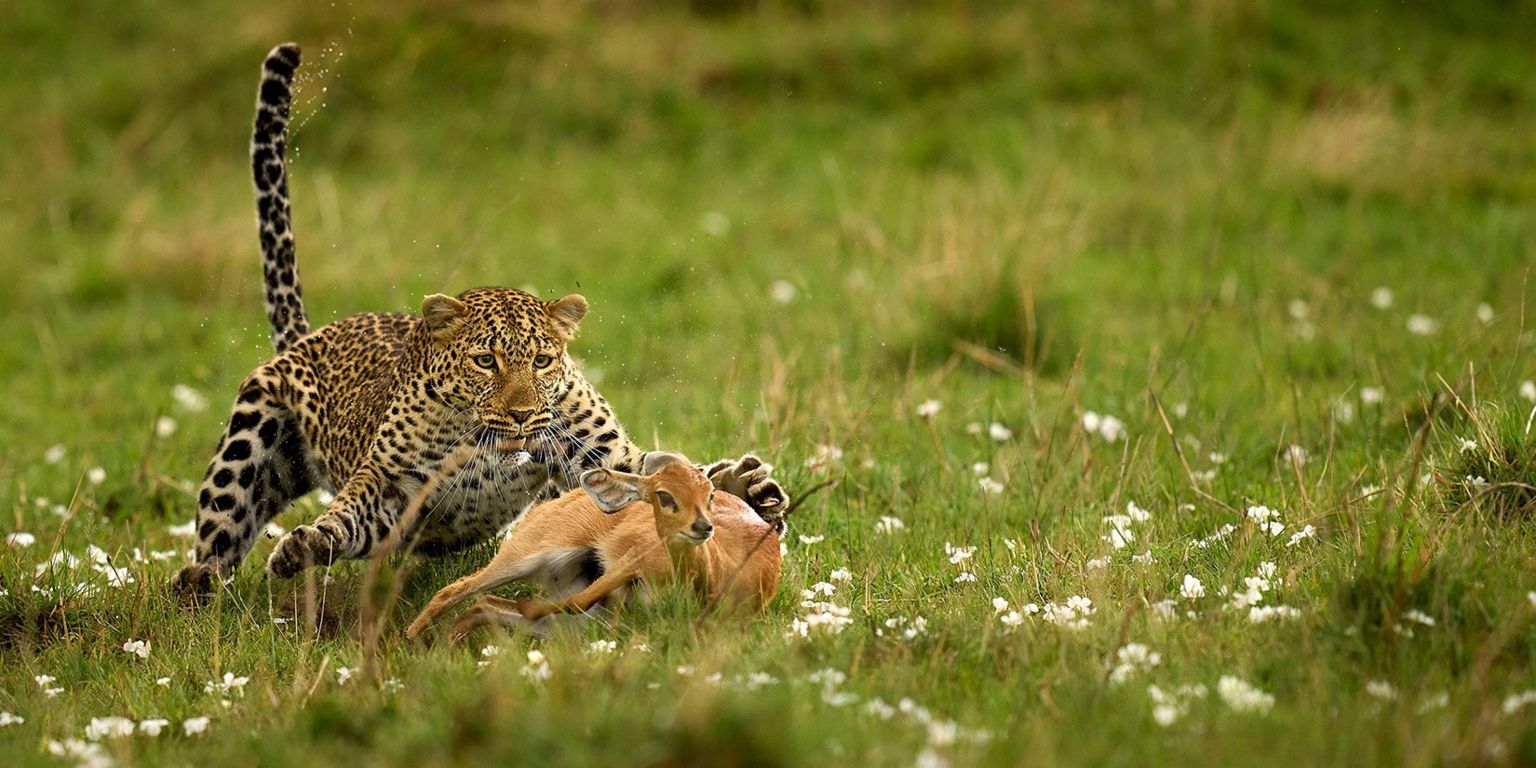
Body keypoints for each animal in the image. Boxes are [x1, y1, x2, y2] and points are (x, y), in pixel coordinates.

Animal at [174, 43, 786, 599]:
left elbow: (646, 473)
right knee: (220, 531)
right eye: (485, 361)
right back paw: (196, 587)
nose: (520, 416)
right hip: (248, 441)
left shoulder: (601, 459)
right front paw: (307, 543)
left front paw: (739, 491)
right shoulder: (391, 488)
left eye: (542, 360)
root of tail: (308, 339)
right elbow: (348, 515)